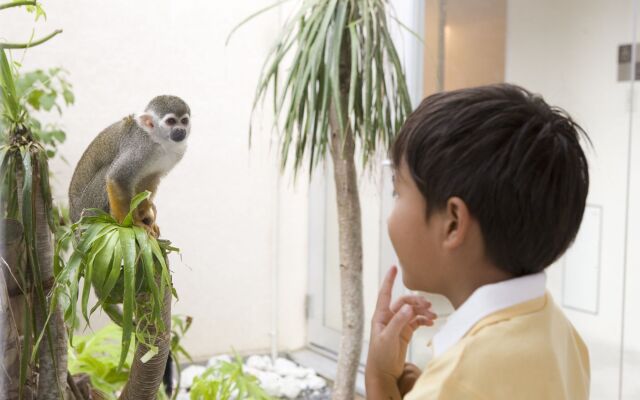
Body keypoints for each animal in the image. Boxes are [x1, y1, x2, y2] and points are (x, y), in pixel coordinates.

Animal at [69, 95, 191, 236]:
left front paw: (144, 215)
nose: (180, 130)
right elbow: (117, 178)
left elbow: (150, 178)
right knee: (108, 170)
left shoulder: (177, 153)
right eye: (170, 121)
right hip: (87, 209)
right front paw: (129, 223)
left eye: (184, 121)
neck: (159, 142)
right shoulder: (140, 147)